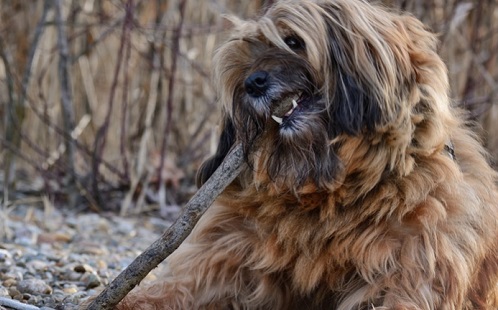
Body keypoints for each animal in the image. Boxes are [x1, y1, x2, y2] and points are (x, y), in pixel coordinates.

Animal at [116, 0, 498, 308]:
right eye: (245, 57)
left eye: (293, 41)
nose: (252, 83)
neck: (328, 192)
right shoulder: (224, 257)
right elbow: (171, 291)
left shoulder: (407, 270)